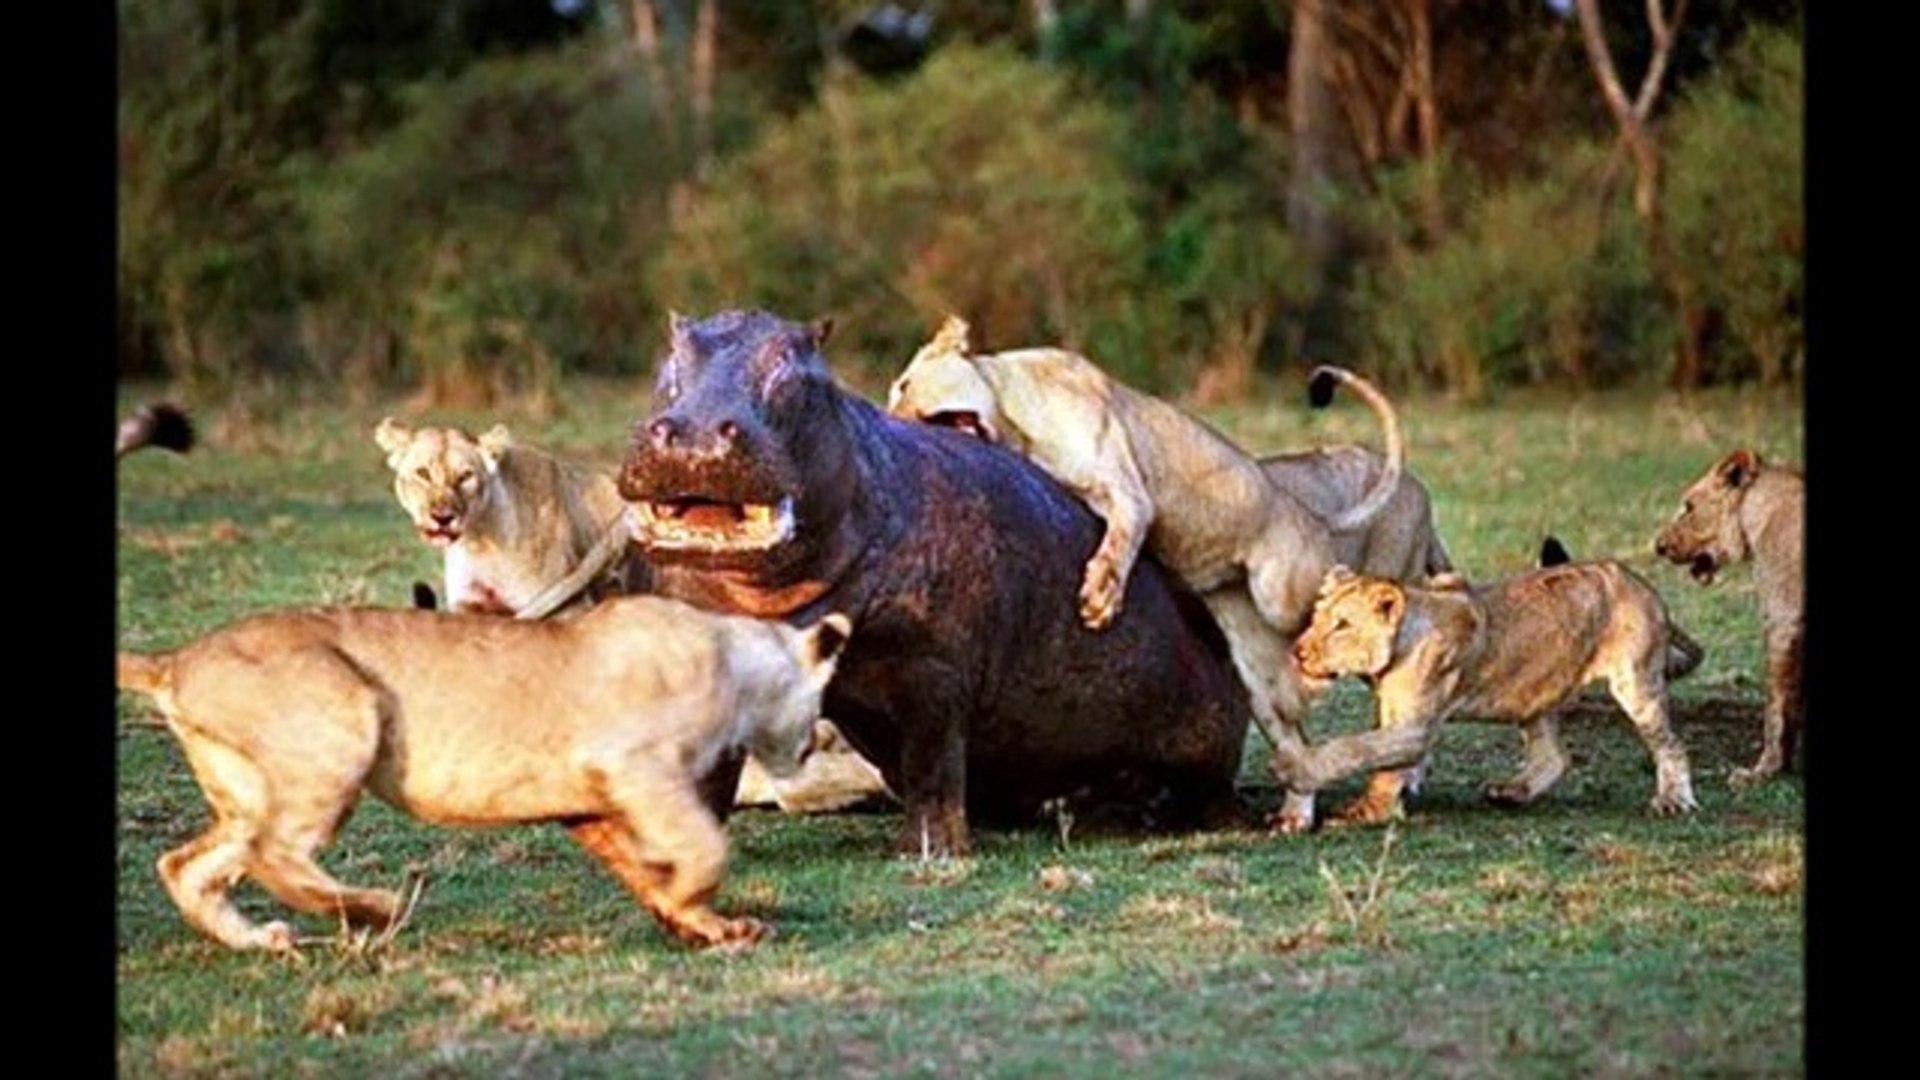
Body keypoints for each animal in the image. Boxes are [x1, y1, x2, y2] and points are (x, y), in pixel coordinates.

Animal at [617, 310, 1251, 856]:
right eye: (675, 350)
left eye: (790, 359)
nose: (696, 432)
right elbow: (705, 769)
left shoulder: (934, 669)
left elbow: (933, 764)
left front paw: (929, 855)